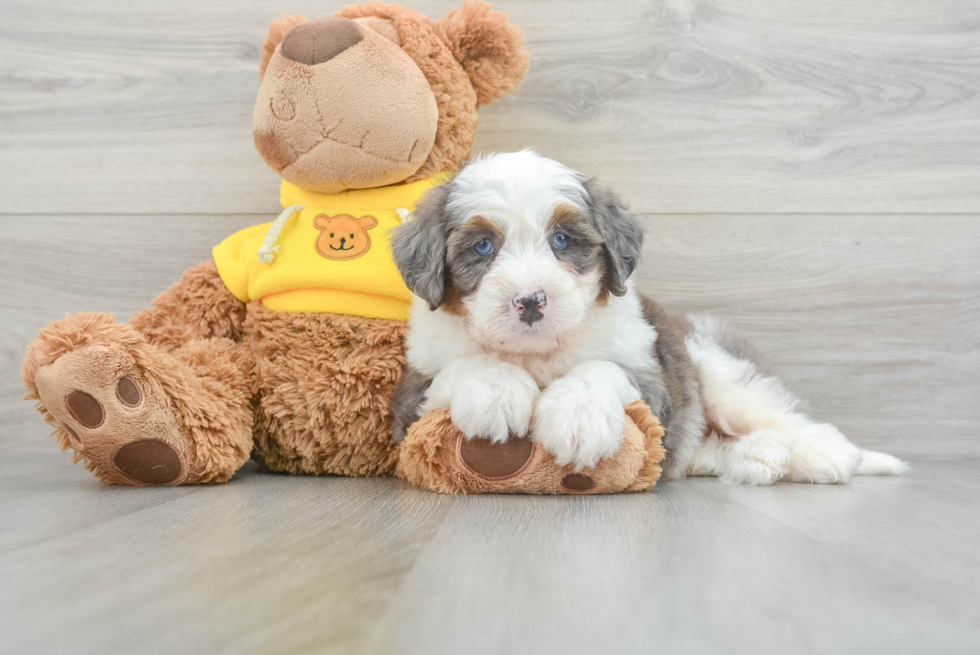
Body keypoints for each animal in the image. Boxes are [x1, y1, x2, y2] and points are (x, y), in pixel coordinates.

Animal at [388, 151, 904, 484]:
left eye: (562, 240)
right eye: (482, 246)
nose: (531, 300)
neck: (538, 354)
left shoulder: (654, 382)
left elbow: (601, 368)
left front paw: (578, 419)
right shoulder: (410, 399)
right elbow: (467, 366)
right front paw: (495, 393)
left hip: (717, 370)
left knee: (785, 418)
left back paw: (825, 456)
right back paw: (760, 458)